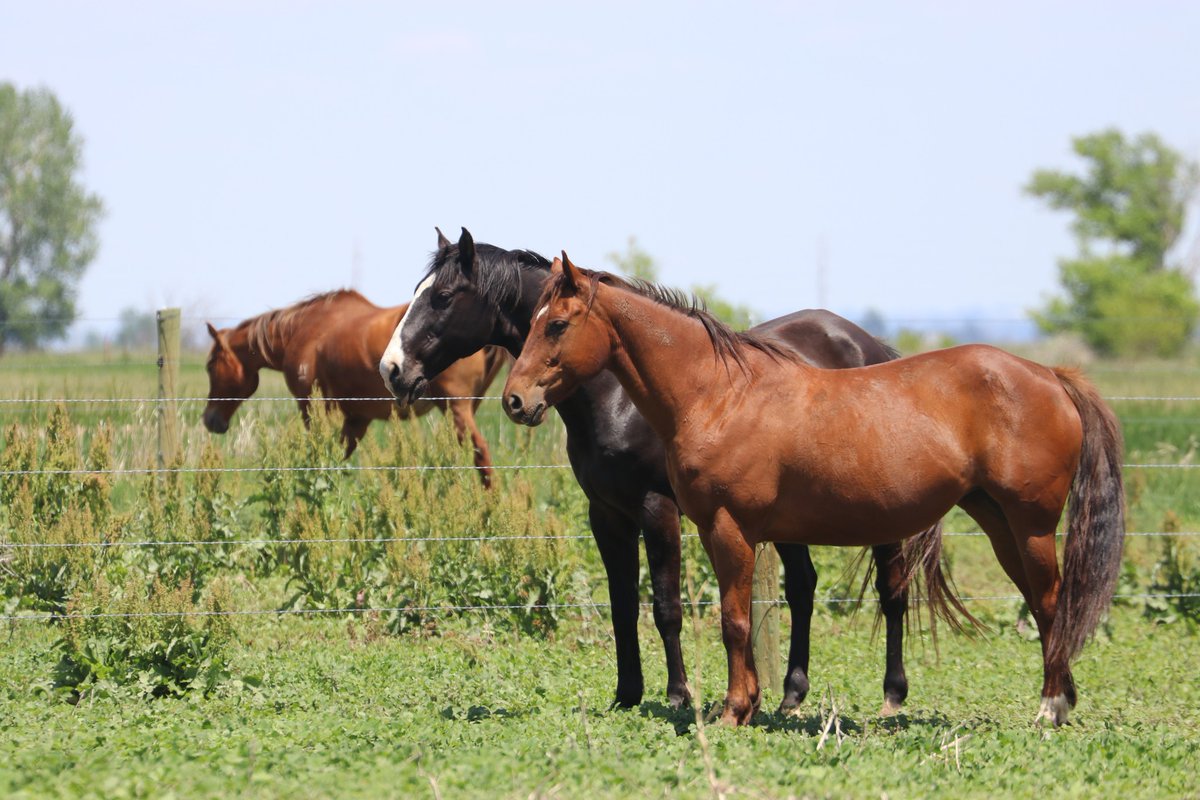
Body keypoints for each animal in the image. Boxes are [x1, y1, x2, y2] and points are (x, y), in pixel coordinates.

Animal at [202, 289, 509, 487]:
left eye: (210, 366)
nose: (209, 420)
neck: (302, 331)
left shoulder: (312, 408)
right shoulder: (357, 419)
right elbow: (336, 460)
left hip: (456, 408)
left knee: (481, 454)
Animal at [378, 228, 962, 714]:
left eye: (442, 296)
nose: (392, 370)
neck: (617, 397)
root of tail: (868, 345)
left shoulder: (657, 510)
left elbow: (665, 606)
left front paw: (679, 695)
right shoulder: (606, 515)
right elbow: (622, 606)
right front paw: (627, 694)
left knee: (891, 589)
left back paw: (892, 694)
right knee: (803, 587)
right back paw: (792, 694)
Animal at [503, 254, 1125, 728]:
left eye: (556, 325)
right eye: (529, 322)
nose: (514, 400)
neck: (718, 393)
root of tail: (1050, 376)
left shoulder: (727, 529)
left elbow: (733, 621)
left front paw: (734, 710)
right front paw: (754, 704)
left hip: (1031, 525)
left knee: (1050, 601)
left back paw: (1049, 707)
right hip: (999, 522)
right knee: (1043, 604)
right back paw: (1059, 699)